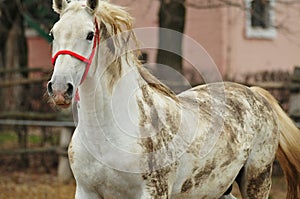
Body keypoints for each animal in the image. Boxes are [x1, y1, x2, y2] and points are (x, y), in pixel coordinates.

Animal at [48, 0, 300, 198]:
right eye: (53, 33)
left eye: (90, 35)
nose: (60, 89)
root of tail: (255, 94)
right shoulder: (86, 192)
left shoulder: (154, 193)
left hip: (257, 180)